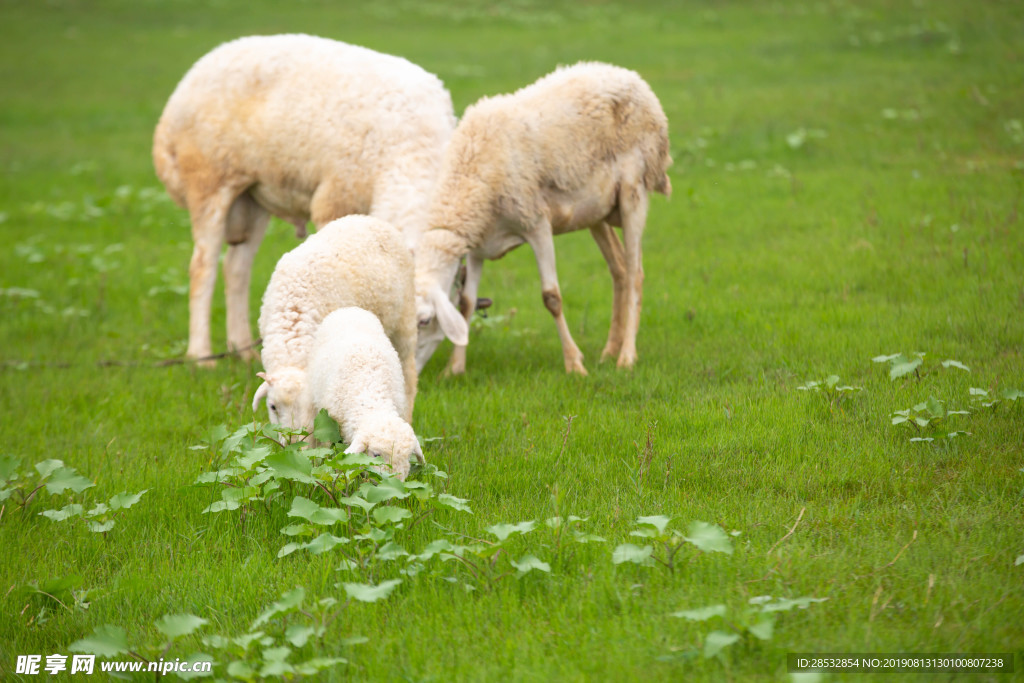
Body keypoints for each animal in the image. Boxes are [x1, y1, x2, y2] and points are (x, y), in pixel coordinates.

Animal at [152, 33, 456, 362]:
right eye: (421, 321)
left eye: (429, 324)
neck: (413, 153)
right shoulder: (336, 198)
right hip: (208, 179)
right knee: (202, 268)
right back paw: (201, 355)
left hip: (251, 199)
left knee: (236, 268)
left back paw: (243, 350)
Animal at [251, 216, 415, 436]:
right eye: (273, 407)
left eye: (308, 407)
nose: (293, 439)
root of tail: (369, 219)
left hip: (405, 321)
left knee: (409, 374)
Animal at [415, 61, 671, 376]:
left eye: (424, 321)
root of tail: (629, 75)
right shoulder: (479, 245)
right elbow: (466, 303)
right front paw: (454, 368)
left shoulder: (536, 224)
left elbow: (551, 297)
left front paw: (574, 364)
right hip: (596, 211)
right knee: (620, 270)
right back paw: (609, 351)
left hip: (634, 188)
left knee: (635, 274)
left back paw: (626, 357)